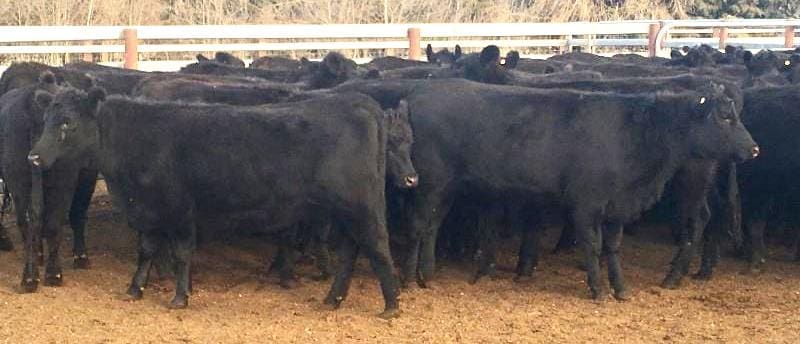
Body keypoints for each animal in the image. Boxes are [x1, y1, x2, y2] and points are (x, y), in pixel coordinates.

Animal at [29, 88, 406, 318]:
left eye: (67, 123)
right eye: (45, 120)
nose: (33, 156)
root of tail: (359, 101)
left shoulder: (181, 210)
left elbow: (181, 255)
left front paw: (179, 297)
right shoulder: (148, 211)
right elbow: (146, 250)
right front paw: (134, 289)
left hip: (361, 205)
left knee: (378, 246)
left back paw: (391, 305)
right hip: (343, 210)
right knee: (350, 251)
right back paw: (333, 299)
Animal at [336, 79, 756, 300]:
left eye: (735, 114)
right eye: (725, 116)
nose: (754, 149)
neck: (633, 132)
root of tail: (422, 93)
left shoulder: (616, 207)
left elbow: (613, 248)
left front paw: (620, 289)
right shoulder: (586, 205)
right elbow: (592, 246)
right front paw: (597, 290)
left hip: (446, 188)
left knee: (432, 227)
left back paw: (427, 273)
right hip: (429, 185)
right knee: (420, 226)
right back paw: (412, 278)